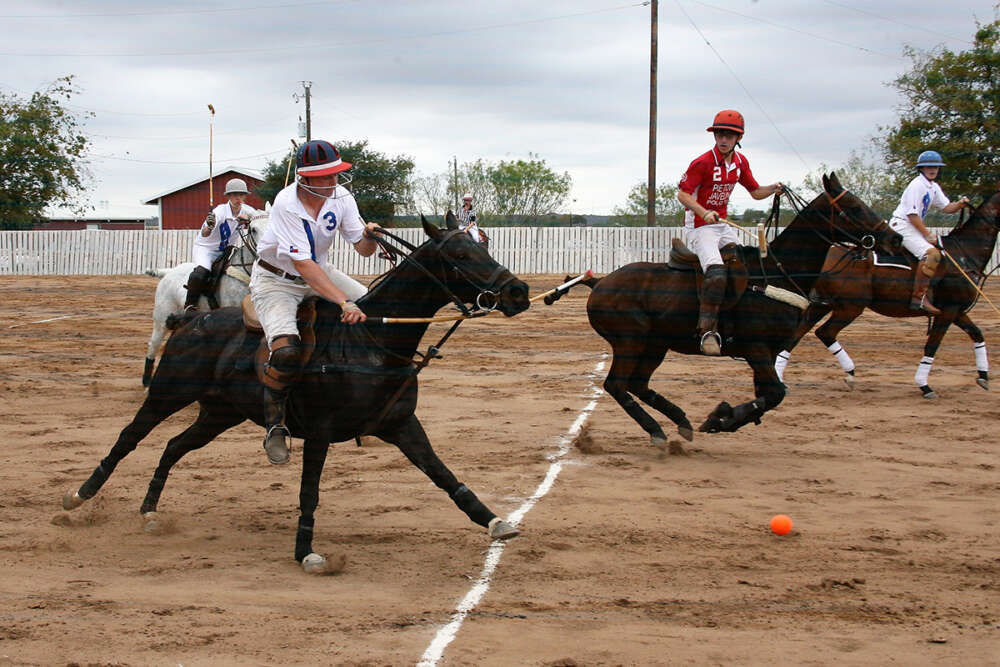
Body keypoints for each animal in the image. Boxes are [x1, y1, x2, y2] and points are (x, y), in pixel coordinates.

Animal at [61, 215, 532, 576]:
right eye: (460, 256)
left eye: (482, 246)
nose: (518, 292)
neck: (371, 341)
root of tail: (191, 319)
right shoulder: (320, 432)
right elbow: (310, 492)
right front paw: (306, 552)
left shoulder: (401, 425)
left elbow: (444, 476)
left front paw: (495, 522)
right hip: (168, 393)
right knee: (130, 436)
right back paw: (80, 494)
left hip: (220, 413)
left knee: (174, 446)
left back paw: (149, 510)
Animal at [552, 172, 904, 444]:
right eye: (853, 207)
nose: (895, 239)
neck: (778, 272)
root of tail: (600, 283)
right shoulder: (756, 347)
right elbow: (775, 394)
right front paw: (720, 418)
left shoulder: (768, 352)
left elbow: (769, 396)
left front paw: (723, 417)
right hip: (630, 341)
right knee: (616, 384)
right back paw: (657, 431)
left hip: (656, 343)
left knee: (637, 384)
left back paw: (681, 421)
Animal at [780, 187, 1000, 396]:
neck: (965, 252)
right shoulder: (948, 310)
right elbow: (932, 345)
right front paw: (924, 385)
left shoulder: (957, 310)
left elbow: (977, 334)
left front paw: (983, 376)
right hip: (851, 306)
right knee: (824, 332)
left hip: (823, 304)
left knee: (800, 334)